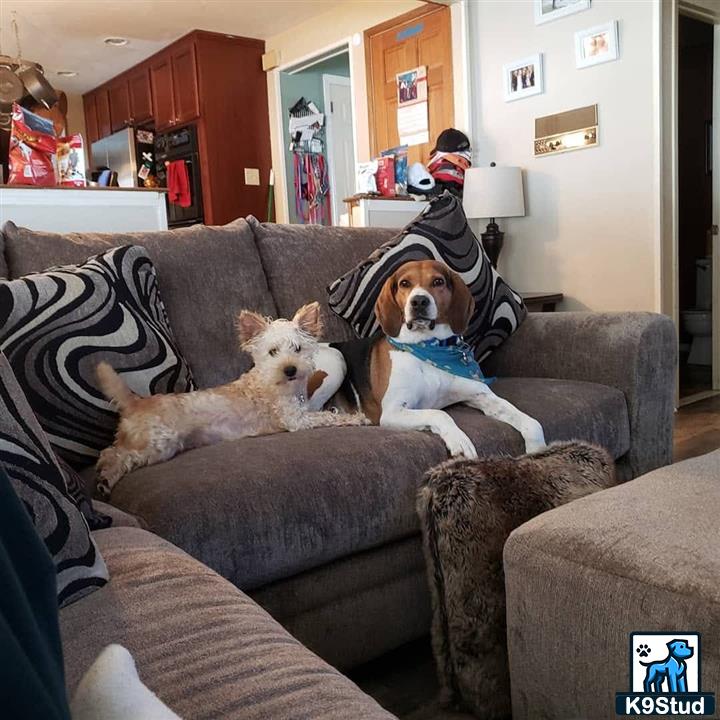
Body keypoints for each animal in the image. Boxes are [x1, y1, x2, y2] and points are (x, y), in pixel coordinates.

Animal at [94, 300, 366, 498]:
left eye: (297, 348)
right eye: (273, 352)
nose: (290, 369)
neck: (272, 382)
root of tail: (136, 402)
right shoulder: (295, 420)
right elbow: (325, 417)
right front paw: (356, 418)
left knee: (110, 451)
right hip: (159, 443)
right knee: (118, 455)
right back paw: (106, 479)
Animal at [310, 262, 544, 458]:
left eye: (438, 282)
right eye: (404, 283)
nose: (419, 301)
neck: (429, 347)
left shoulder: (482, 396)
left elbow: (531, 422)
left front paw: (537, 451)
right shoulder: (393, 411)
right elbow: (439, 414)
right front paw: (459, 440)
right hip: (336, 359)